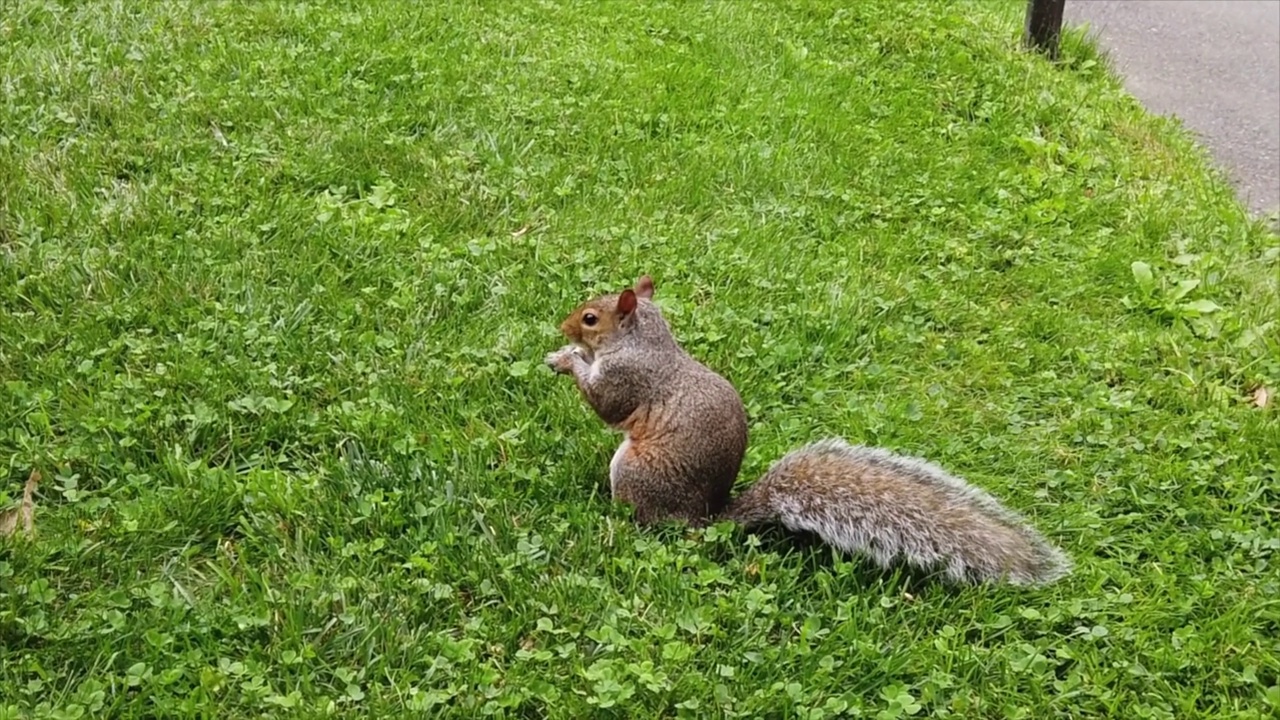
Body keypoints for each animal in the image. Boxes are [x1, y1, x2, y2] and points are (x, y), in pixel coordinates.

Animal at [545, 274, 1075, 584]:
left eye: (590, 318)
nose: (563, 327)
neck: (644, 340)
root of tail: (703, 519)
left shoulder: (628, 379)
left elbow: (607, 405)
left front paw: (567, 360)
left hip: (635, 472)